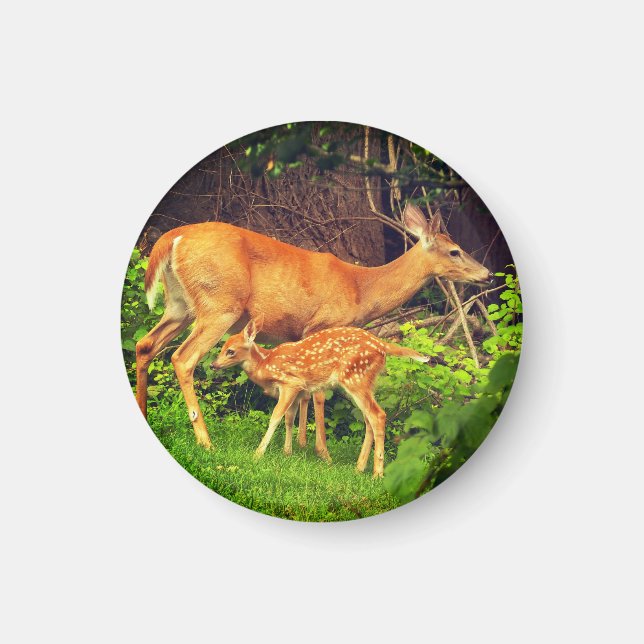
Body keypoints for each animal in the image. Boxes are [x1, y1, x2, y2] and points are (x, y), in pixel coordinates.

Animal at [135, 202, 493, 458]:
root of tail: (172, 239)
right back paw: (205, 441)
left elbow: (304, 393)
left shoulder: (302, 335)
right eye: (455, 250)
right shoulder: (325, 322)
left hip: (180, 305)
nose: (487, 274)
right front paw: (322, 452)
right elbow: (320, 394)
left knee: (145, 345)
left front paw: (299, 446)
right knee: (183, 358)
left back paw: (145, 413)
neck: (361, 289)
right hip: (219, 304)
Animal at [212, 320, 432, 477]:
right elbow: (289, 419)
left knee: (378, 415)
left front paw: (257, 454)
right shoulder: (299, 391)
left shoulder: (291, 383)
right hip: (366, 382)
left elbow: (275, 417)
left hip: (355, 378)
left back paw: (377, 474)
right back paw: (359, 468)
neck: (265, 365)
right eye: (221, 348)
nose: (213, 365)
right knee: (369, 418)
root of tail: (383, 345)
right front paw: (287, 452)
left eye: (231, 351)